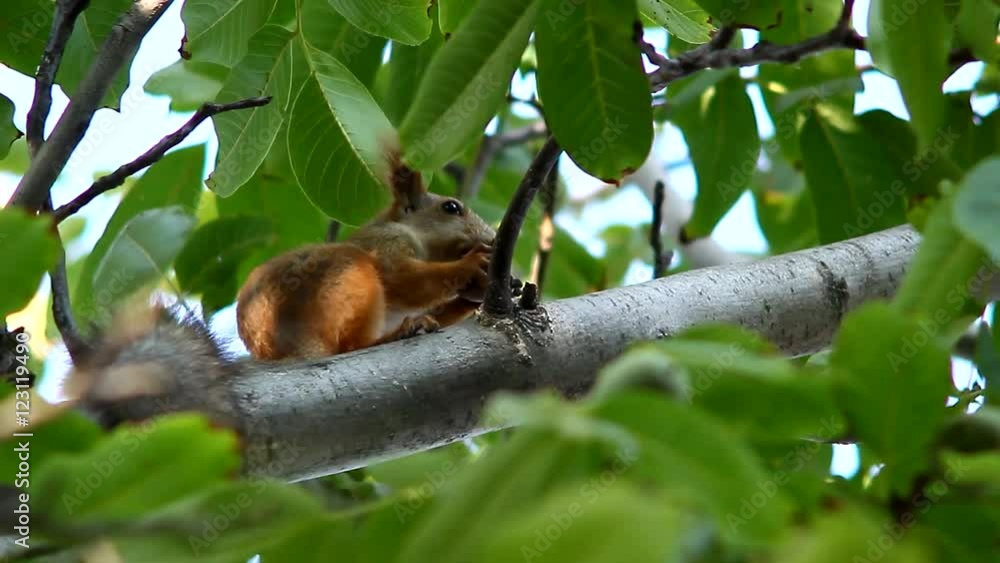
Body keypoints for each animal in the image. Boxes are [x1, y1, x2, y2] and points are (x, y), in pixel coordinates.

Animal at [235, 154, 498, 360]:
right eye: (451, 207)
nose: (493, 238)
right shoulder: (385, 242)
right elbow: (401, 278)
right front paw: (472, 263)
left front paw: (474, 295)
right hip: (342, 276)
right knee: (349, 346)